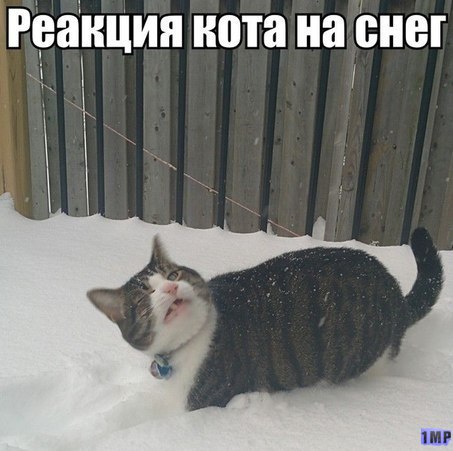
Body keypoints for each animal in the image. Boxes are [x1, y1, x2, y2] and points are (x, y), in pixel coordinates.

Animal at [87, 228, 443, 411]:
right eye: (143, 298)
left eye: (173, 275)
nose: (172, 287)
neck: (190, 343)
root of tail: (395, 293)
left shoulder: (209, 399)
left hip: (372, 356)